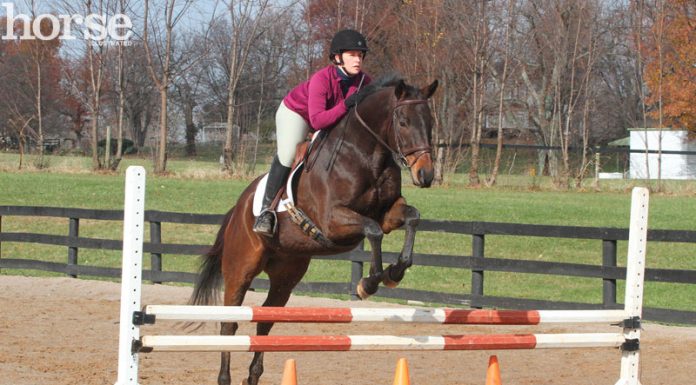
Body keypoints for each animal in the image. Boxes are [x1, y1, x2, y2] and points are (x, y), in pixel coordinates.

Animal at [189, 76, 440, 384]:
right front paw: (369, 283)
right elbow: (373, 231)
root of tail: (238, 208)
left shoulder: (389, 214)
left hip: (286, 274)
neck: (367, 155)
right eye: (403, 122)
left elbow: (412, 218)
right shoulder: (332, 221)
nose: (425, 175)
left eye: (429, 121)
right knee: (229, 324)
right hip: (240, 269)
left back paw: (253, 376)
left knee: (265, 323)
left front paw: (395, 272)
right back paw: (225, 377)